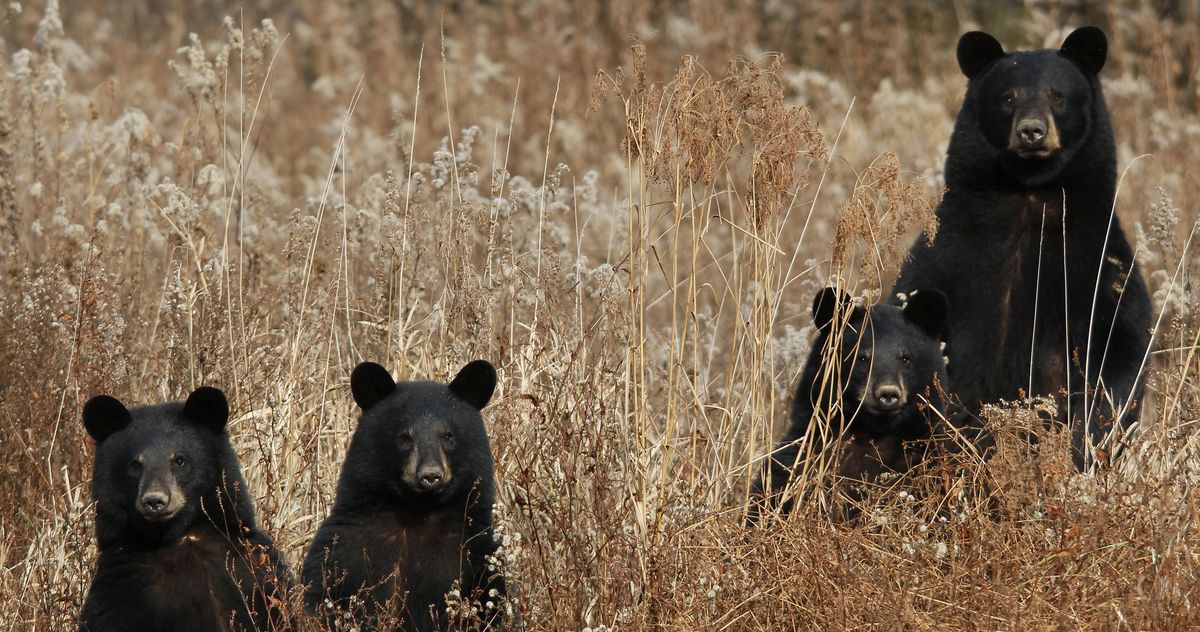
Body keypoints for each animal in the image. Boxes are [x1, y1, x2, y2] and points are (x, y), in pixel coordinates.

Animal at [79, 388, 292, 628]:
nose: (154, 501)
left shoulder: (252, 572)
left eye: (179, 460)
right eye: (135, 464)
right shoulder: (119, 590)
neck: (180, 537)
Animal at [302, 362, 508, 632]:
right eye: (405, 437)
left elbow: (493, 604)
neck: (415, 514)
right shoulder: (342, 550)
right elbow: (318, 594)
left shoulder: (478, 554)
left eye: (448, 435)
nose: (430, 475)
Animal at [748, 289, 955, 522]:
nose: (888, 394)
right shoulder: (804, 458)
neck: (871, 433)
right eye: (862, 357)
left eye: (905, 358)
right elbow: (774, 492)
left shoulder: (921, 462)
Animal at [892, 25, 1152, 470]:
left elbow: (1121, 345)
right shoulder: (945, 258)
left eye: (1057, 95)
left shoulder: (1096, 263)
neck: (1030, 196)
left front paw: (1083, 438)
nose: (1032, 131)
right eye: (1008, 97)